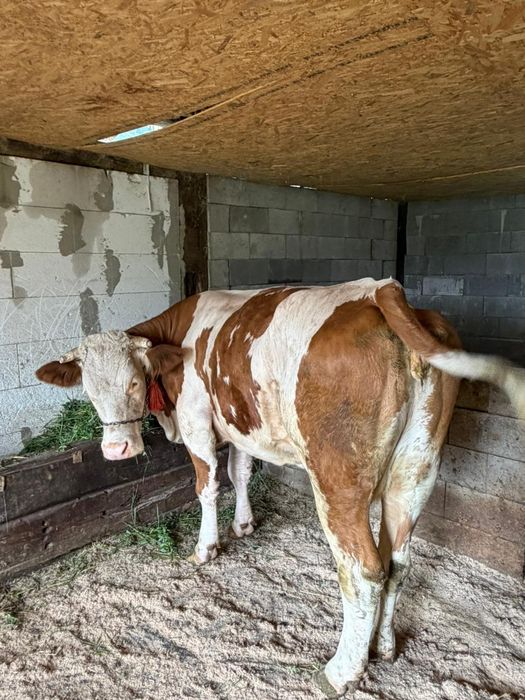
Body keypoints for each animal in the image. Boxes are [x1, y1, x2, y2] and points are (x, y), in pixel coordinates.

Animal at [36, 278, 525, 697]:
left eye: (134, 382)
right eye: (90, 390)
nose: (117, 449)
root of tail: (380, 292)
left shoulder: (197, 423)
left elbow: (208, 485)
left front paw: (206, 547)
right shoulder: (240, 426)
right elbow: (241, 472)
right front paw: (245, 525)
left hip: (337, 481)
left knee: (363, 571)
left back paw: (341, 671)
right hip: (417, 469)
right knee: (398, 562)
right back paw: (383, 647)